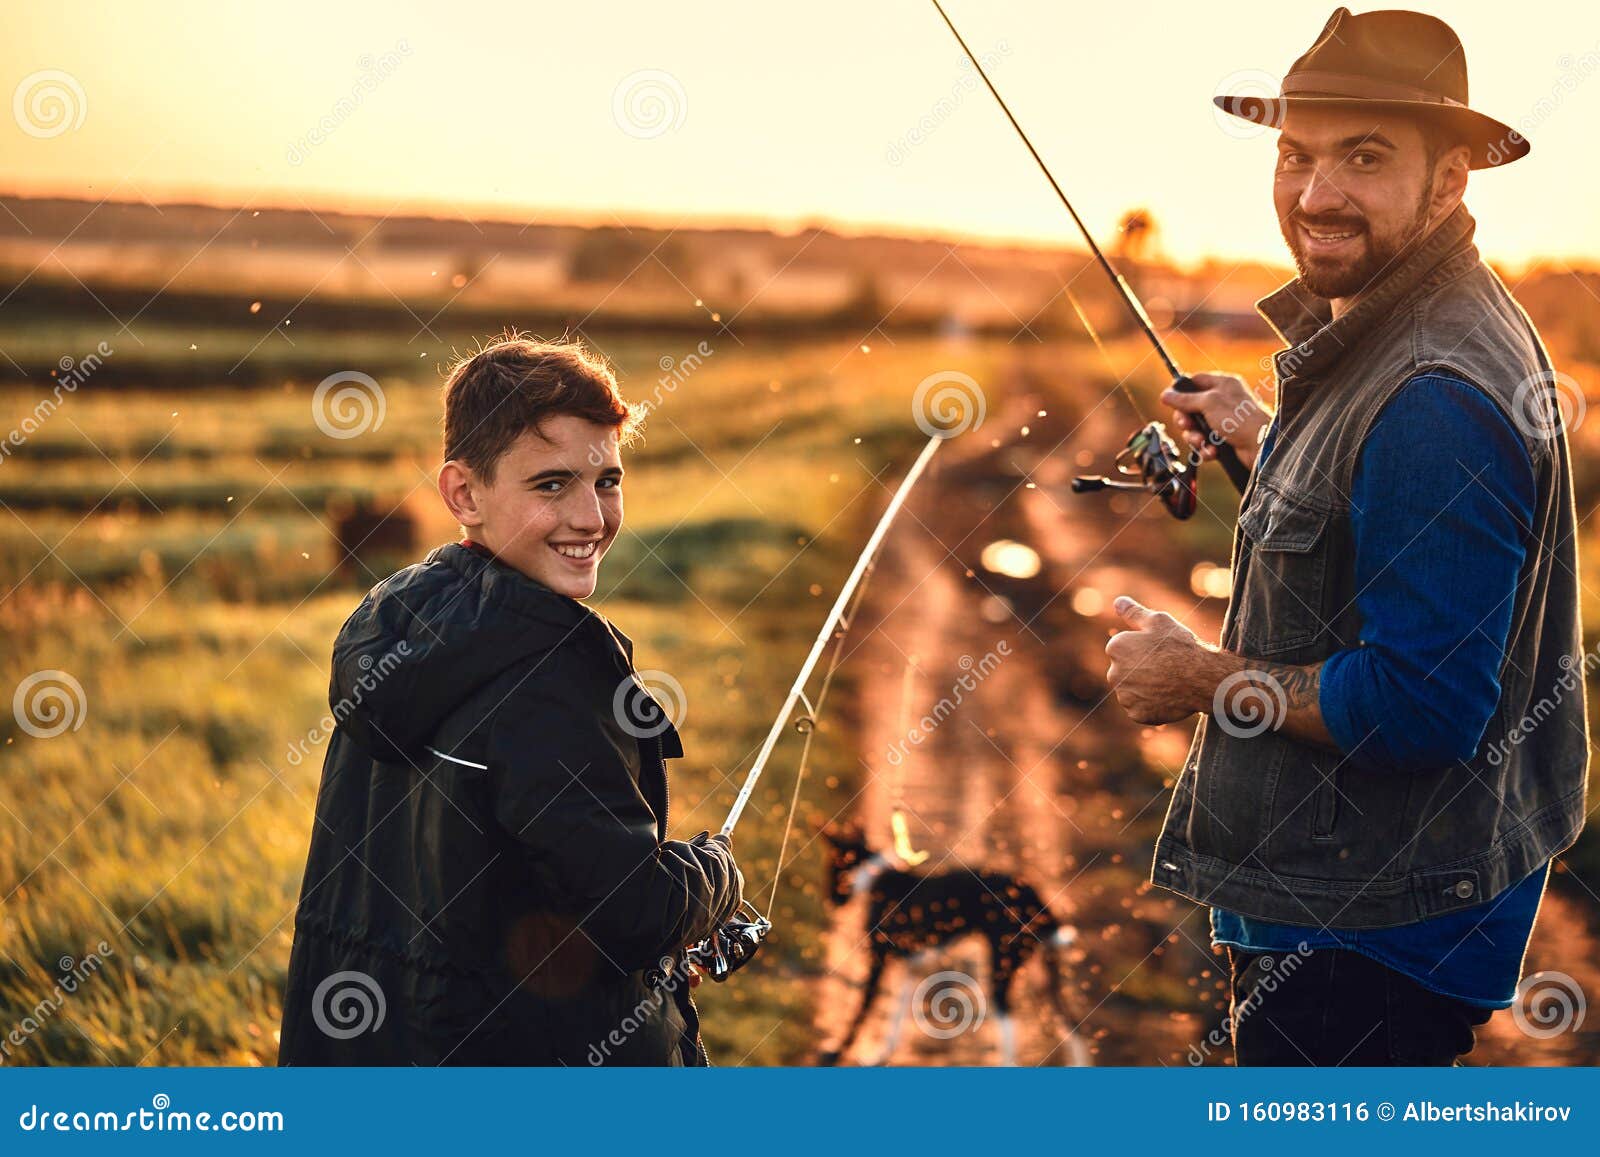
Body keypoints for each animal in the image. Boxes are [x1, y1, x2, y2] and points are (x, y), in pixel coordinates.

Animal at [812, 825, 1088, 1068]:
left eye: (831, 867)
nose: (830, 901)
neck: (876, 877)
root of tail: (1035, 897)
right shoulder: (908, 969)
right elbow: (894, 1021)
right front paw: (880, 1056)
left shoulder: (877, 962)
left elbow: (859, 1015)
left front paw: (836, 1052)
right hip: (1042, 978)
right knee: (1072, 1024)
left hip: (1002, 970)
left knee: (1011, 1027)